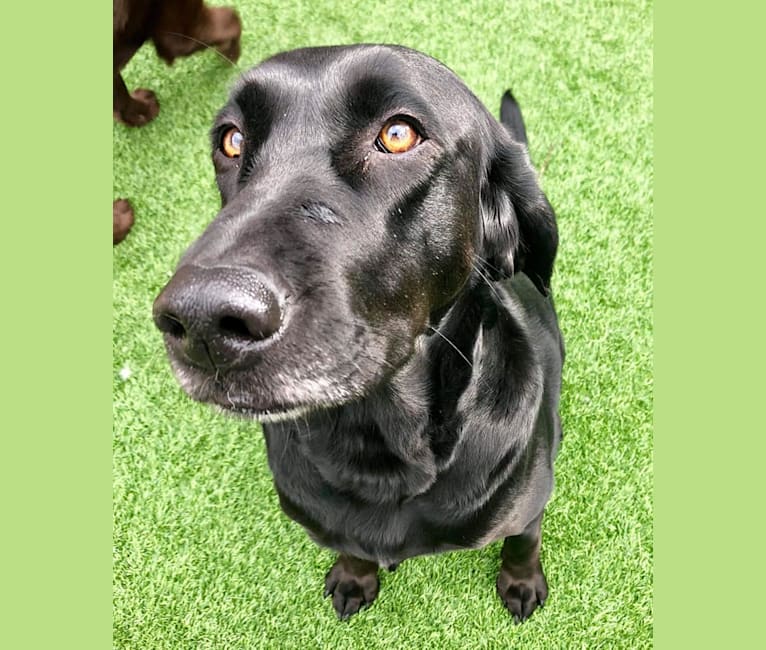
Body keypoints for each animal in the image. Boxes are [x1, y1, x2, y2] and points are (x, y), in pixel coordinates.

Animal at [154, 43, 564, 620]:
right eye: (230, 140)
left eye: (398, 134)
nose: (202, 319)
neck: (378, 446)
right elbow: (350, 547)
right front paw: (354, 576)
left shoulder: (527, 507)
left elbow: (523, 543)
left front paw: (522, 583)